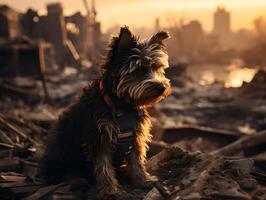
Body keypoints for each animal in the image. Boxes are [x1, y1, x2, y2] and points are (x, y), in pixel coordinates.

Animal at [40, 26, 171, 198]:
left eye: (157, 68)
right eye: (140, 70)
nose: (162, 87)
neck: (123, 105)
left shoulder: (136, 136)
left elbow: (137, 159)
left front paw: (142, 179)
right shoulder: (98, 137)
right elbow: (103, 167)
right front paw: (110, 190)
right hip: (60, 149)